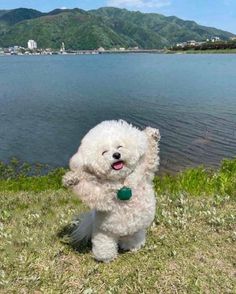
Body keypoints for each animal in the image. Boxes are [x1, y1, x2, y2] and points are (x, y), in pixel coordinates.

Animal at [62, 119, 160, 262]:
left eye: (119, 147)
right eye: (104, 152)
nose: (116, 155)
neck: (121, 182)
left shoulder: (142, 172)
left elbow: (150, 156)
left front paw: (152, 134)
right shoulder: (99, 193)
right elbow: (86, 186)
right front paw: (71, 178)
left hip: (136, 230)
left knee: (132, 238)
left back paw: (132, 246)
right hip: (104, 234)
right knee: (105, 246)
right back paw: (107, 258)